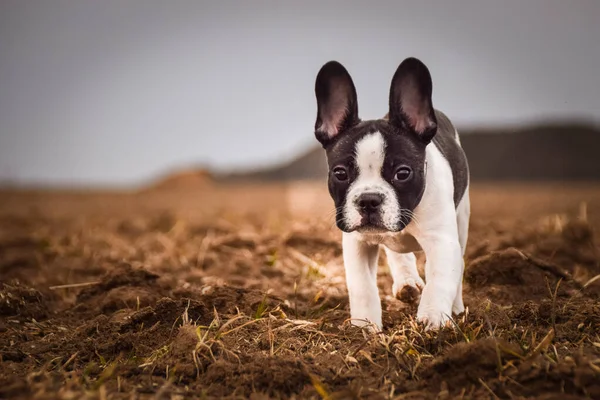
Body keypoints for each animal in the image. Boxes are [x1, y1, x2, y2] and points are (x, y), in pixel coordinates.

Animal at [312, 57, 472, 332]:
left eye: (403, 173)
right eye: (340, 173)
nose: (368, 200)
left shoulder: (441, 240)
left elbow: (440, 278)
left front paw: (433, 320)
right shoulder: (357, 244)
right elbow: (363, 287)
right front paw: (364, 327)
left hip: (462, 218)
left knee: (459, 263)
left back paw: (455, 307)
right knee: (399, 255)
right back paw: (407, 283)